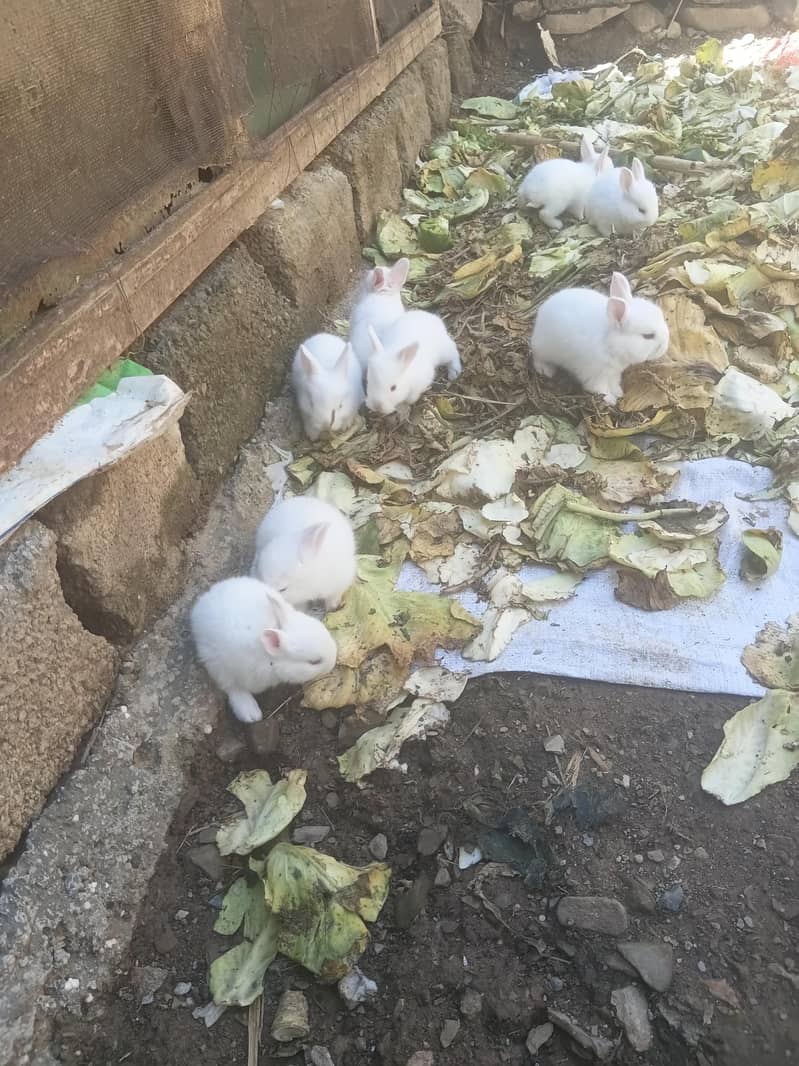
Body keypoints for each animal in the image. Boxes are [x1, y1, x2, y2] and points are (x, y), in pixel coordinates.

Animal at [190, 577, 337, 723]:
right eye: (314, 662)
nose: (333, 662)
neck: (270, 660)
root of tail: (200, 606)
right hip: (216, 664)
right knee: (231, 687)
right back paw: (250, 713)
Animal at [530, 271, 670, 404]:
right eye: (648, 336)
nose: (665, 346)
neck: (610, 343)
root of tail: (542, 311)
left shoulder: (613, 373)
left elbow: (614, 383)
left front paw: (618, 393)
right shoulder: (595, 375)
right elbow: (599, 388)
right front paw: (610, 400)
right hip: (543, 348)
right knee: (537, 356)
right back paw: (545, 370)